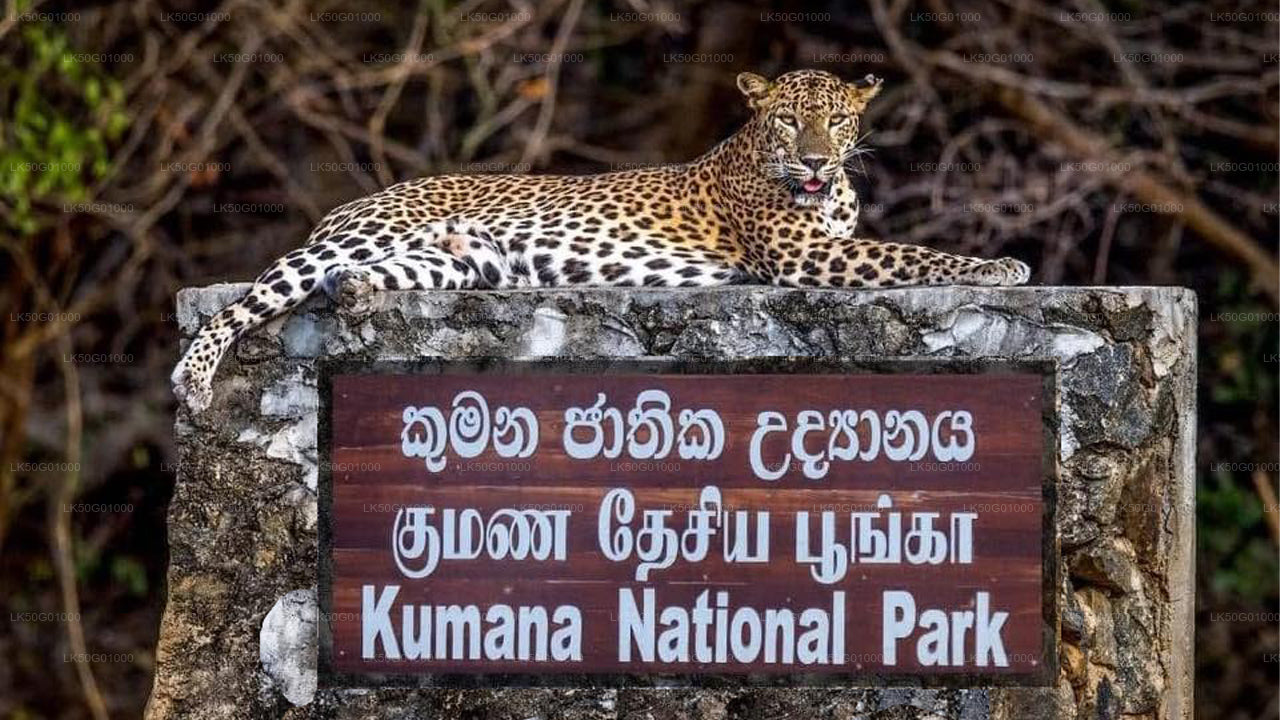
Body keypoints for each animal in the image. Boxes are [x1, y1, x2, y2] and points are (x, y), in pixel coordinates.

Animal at [172, 70, 1029, 412]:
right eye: (790, 120)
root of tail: (357, 200)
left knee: (366, 279)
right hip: (354, 239)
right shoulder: (806, 256)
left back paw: (354, 295)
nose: (818, 159)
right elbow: (912, 253)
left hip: (460, 260)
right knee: (247, 299)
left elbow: (903, 248)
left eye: (839, 121)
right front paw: (1001, 265)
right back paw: (194, 376)